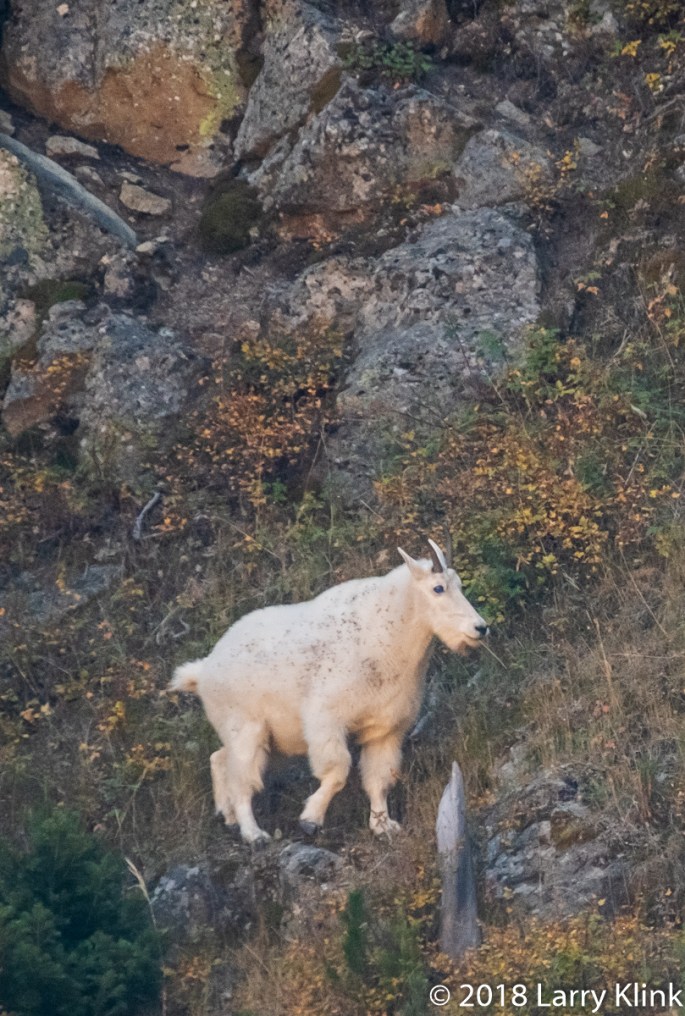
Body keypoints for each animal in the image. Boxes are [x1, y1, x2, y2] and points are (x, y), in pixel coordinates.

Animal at [169, 539, 488, 844]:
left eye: (459, 584)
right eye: (438, 588)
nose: (480, 628)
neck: (389, 632)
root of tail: (204, 670)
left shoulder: (385, 730)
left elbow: (378, 778)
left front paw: (383, 826)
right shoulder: (326, 718)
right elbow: (338, 771)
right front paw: (310, 820)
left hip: (265, 737)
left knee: (219, 758)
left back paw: (230, 818)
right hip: (245, 727)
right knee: (242, 778)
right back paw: (253, 834)